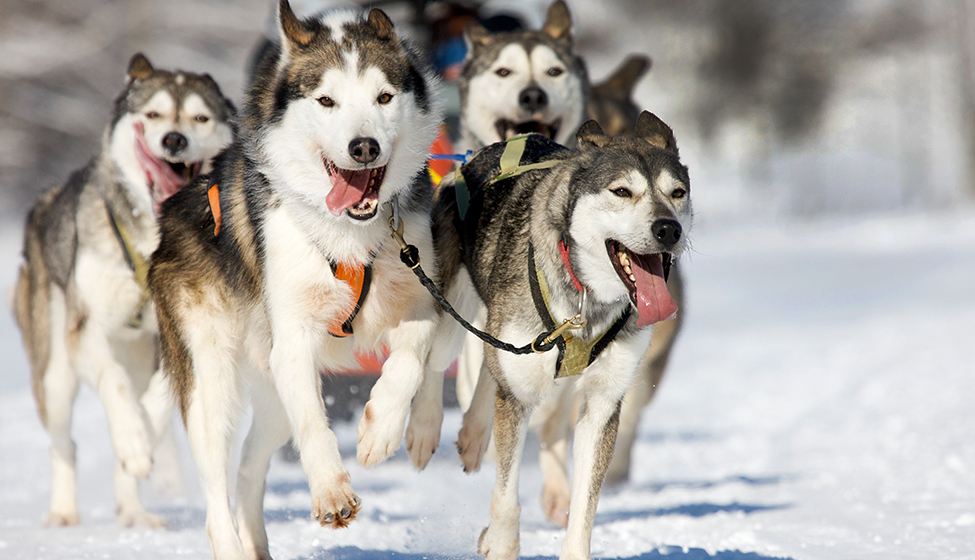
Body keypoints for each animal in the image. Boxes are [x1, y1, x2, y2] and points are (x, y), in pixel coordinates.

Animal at [12, 54, 235, 528]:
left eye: (201, 118)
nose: (174, 139)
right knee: (64, 444)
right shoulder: (85, 333)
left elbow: (157, 400)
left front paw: (143, 437)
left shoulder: (176, 336)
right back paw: (64, 511)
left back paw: (134, 509)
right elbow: (113, 384)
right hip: (54, 373)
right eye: (152, 115)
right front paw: (134, 439)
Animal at [148, 2, 442, 556]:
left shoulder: (417, 298)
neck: (349, 235)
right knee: (218, 492)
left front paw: (381, 429)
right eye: (326, 100)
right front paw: (331, 490)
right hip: (213, 381)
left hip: (270, 391)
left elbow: (410, 361)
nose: (364, 146)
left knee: (247, 470)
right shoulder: (294, 340)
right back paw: (229, 540)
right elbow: (314, 424)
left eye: (384, 97)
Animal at [430, 111, 692, 556]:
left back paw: (472, 434)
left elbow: (585, 504)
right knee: (428, 363)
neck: (587, 301)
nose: (668, 229)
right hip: (450, 314)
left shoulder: (602, 402)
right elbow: (506, 492)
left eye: (677, 192)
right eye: (622, 191)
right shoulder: (519, 395)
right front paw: (501, 543)